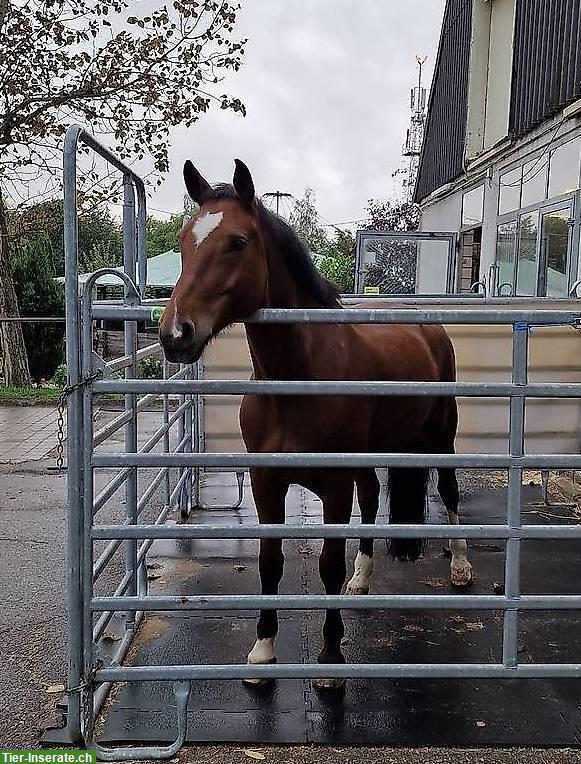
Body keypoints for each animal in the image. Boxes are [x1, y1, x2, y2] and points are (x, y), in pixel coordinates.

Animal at [159, 158, 472, 688]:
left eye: (237, 242)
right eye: (183, 240)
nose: (175, 335)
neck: (299, 377)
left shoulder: (333, 485)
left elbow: (327, 564)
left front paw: (330, 660)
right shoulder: (267, 483)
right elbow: (269, 563)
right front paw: (262, 652)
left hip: (439, 435)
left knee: (448, 490)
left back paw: (462, 566)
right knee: (373, 497)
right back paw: (362, 579)